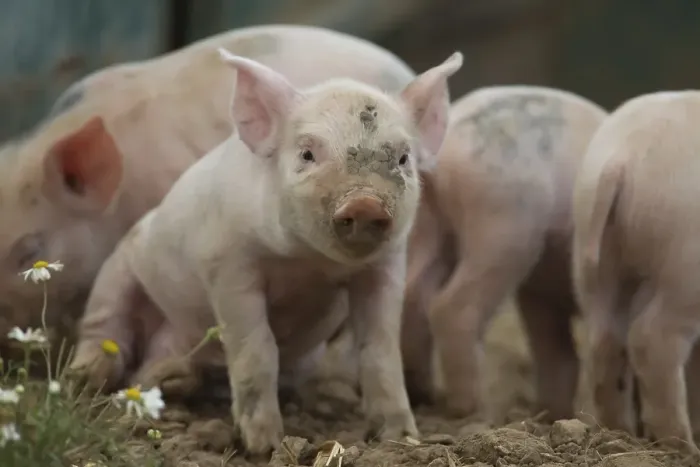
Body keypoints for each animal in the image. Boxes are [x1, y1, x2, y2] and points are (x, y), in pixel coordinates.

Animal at [69, 49, 464, 455]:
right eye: (307, 153)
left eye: (402, 159)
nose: (365, 202)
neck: (309, 263)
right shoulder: (227, 264)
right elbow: (257, 348)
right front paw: (263, 445)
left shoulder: (385, 267)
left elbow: (381, 350)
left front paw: (402, 436)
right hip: (120, 267)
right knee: (104, 324)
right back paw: (84, 377)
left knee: (155, 366)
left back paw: (171, 379)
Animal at [395, 86, 607, 422]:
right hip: (503, 227)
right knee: (451, 306)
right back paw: (477, 412)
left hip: (430, 222)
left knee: (413, 292)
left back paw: (425, 397)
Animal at [572, 90, 700, 453]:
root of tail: (622, 158)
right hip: (686, 267)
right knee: (652, 338)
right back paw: (682, 448)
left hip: (594, 258)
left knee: (604, 341)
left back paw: (619, 435)